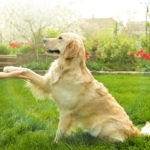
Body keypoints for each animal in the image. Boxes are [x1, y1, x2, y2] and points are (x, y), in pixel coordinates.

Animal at [3, 32, 150, 142]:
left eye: (60, 38)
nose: (43, 39)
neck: (66, 68)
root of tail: (134, 130)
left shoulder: (67, 112)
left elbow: (59, 132)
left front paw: (55, 143)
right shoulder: (47, 83)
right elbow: (26, 70)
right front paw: (9, 68)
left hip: (105, 125)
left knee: (117, 140)